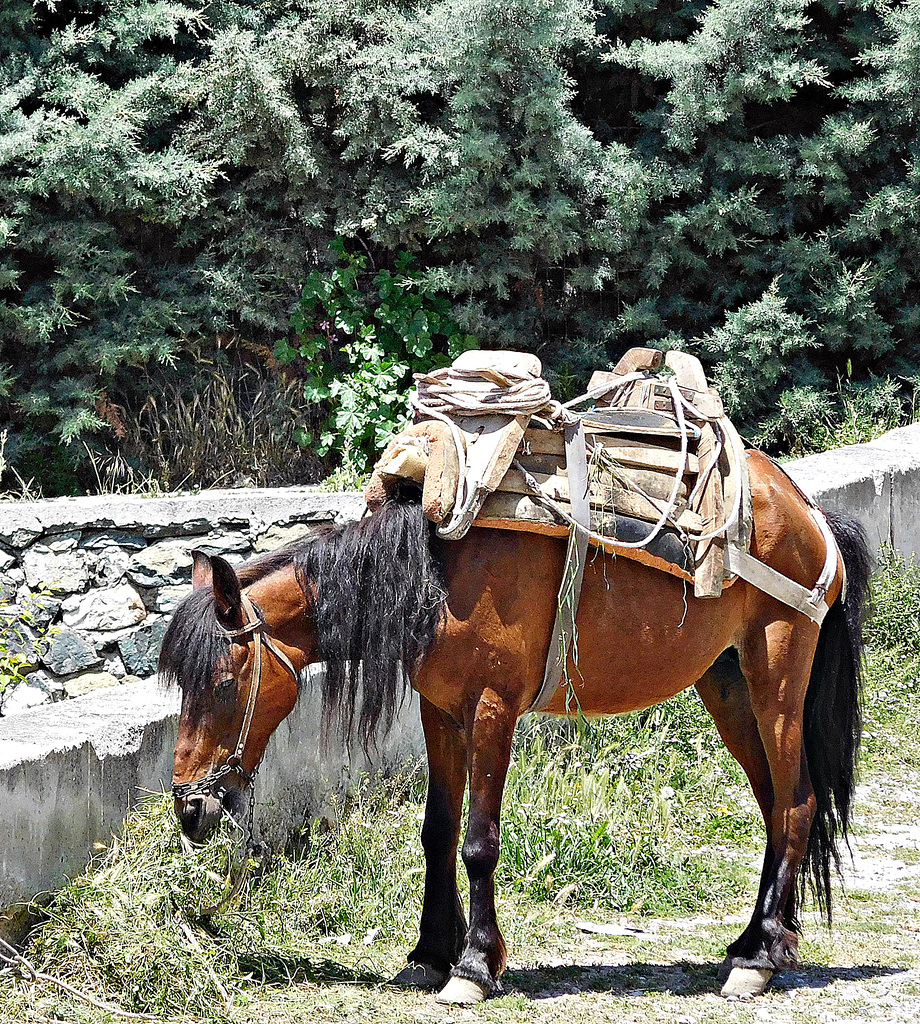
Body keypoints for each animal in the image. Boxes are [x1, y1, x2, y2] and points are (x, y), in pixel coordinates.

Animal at [159, 452, 868, 1003]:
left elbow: (478, 842)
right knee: (776, 806)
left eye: (222, 683)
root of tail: (808, 512)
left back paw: (761, 958)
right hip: (727, 685)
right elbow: (438, 832)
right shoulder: (441, 714)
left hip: (776, 679)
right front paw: (430, 952)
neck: (436, 576)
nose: (190, 807)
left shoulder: (491, 711)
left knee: (798, 804)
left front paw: (474, 965)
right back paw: (754, 942)